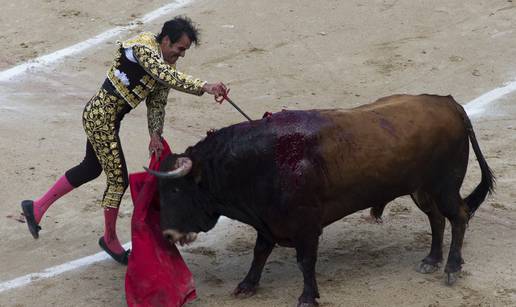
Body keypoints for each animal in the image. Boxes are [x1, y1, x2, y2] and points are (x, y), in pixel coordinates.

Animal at [147, 95, 494, 306]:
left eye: (176, 191)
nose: (167, 234)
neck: (261, 162)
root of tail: (450, 103)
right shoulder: (267, 220)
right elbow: (260, 252)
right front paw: (247, 285)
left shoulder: (306, 226)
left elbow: (305, 261)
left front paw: (307, 297)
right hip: (422, 189)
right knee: (436, 218)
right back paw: (431, 260)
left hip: (444, 186)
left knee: (459, 216)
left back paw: (451, 267)